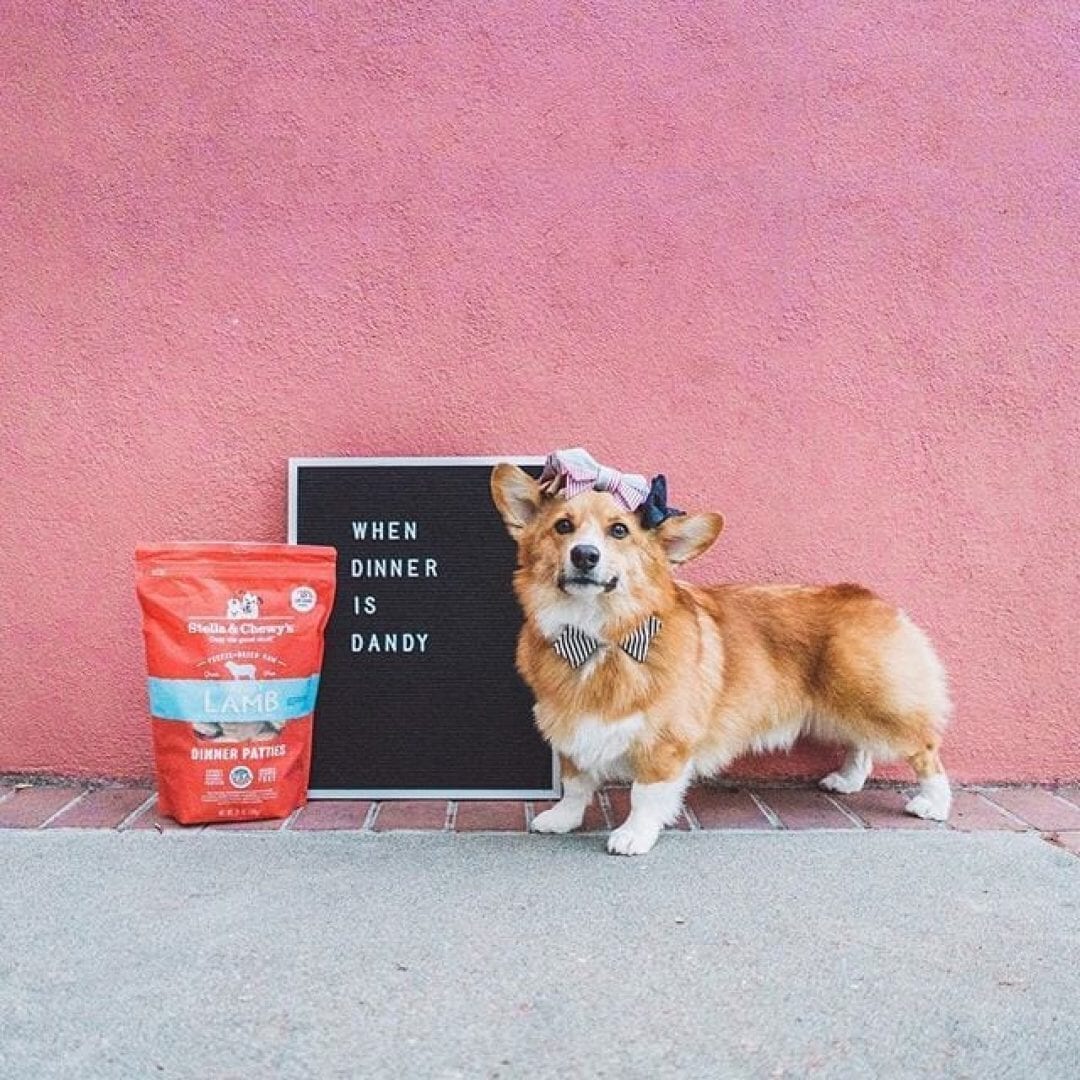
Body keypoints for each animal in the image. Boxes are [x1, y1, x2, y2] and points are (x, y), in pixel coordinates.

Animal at [494, 460, 950, 855]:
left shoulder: (665, 743)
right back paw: (847, 781)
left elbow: (645, 795)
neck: (597, 636)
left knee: (925, 748)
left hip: (874, 700)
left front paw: (633, 836)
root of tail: (871, 598)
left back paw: (934, 804)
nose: (585, 555)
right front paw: (561, 819)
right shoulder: (571, 725)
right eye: (563, 526)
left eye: (619, 531)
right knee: (860, 745)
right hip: (845, 704)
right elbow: (576, 784)